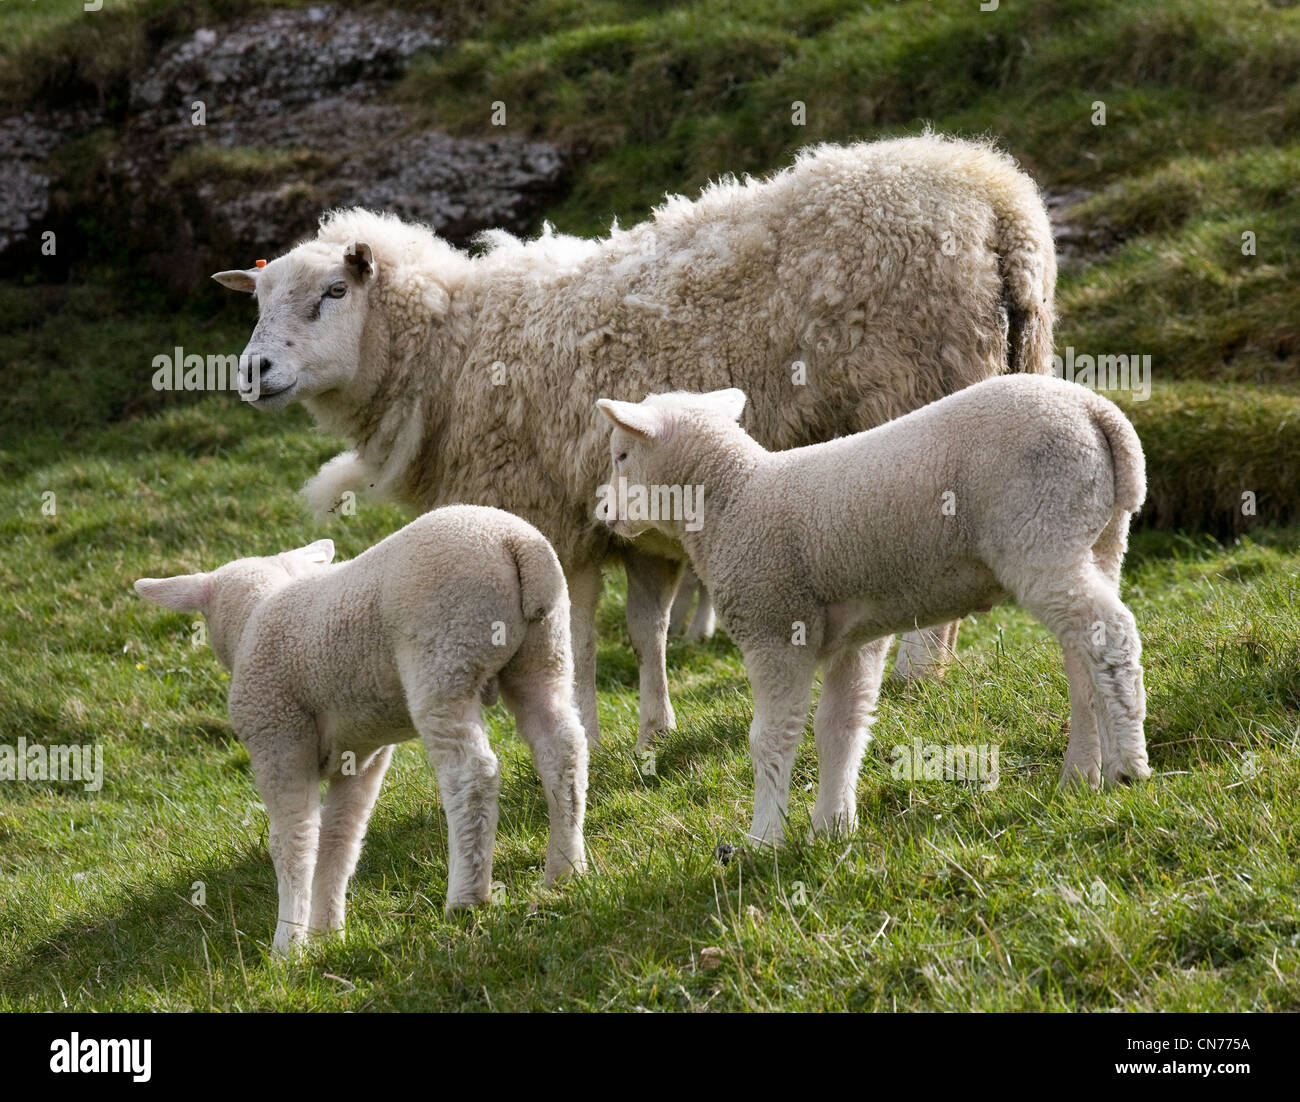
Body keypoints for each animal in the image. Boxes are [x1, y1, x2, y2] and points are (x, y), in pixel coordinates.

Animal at [130, 504, 585, 951]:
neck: (257, 613)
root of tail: (516, 543)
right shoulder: (364, 754)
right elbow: (340, 838)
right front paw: (328, 934)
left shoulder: (277, 736)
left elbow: (293, 840)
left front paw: (288, 945)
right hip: (546, 649)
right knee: (563, 748)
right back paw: (565, 871)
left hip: (444, 654)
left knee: (472, 775)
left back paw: (466, 899)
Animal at [595, 374, 1154, 847]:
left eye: (621, 455)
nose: (603, 515)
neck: (734, 498)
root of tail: (1097, 412)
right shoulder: (855, 638)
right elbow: (840, 728)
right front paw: (831, 828)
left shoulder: (774, 623)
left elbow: (771, 737)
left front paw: (763, 839)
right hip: (1095, 537)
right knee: (1083, 658)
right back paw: (1083, 773)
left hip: (1040, 529)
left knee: (1112, 633)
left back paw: (1128, 766)